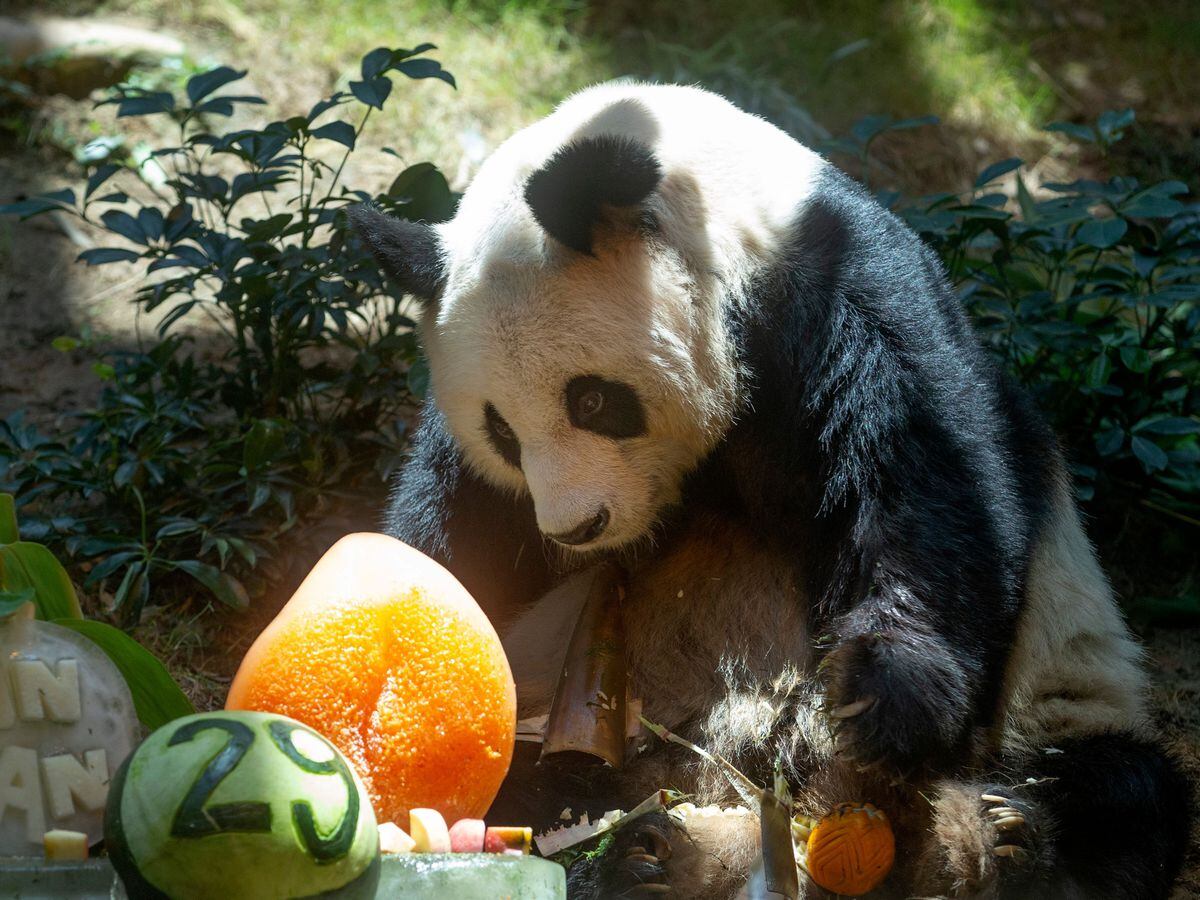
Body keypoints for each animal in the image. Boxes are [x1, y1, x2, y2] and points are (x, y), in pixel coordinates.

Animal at [348, 86, 1190, 900]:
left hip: (1059, 696)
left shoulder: (845, 298)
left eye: (591, 400)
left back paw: (999, 838)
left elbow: (925, 485)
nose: (577, 526)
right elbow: (449, 541)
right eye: (503, 433)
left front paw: (880, 698)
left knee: (1119, 793)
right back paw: (645, 856)